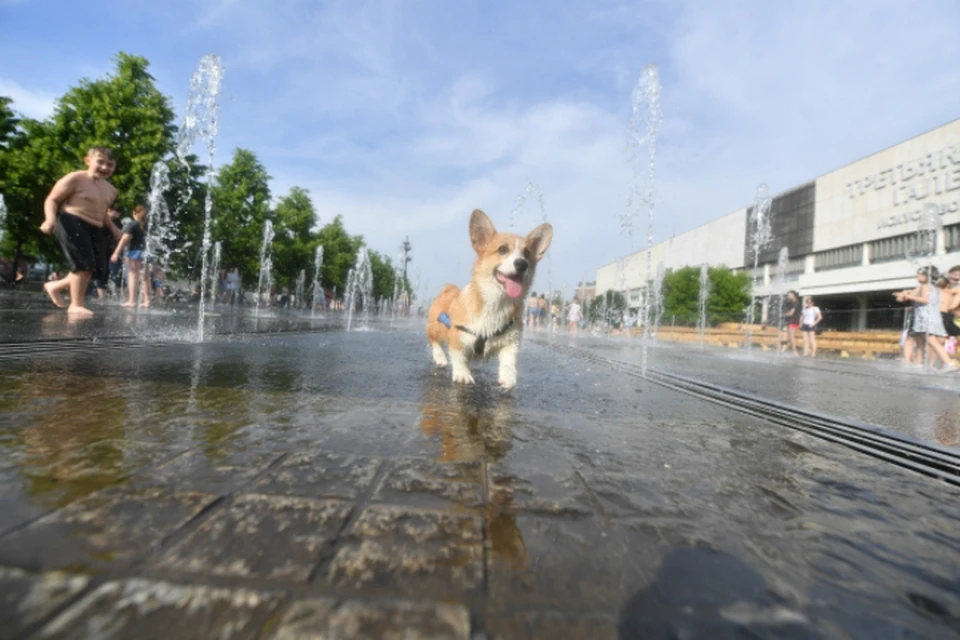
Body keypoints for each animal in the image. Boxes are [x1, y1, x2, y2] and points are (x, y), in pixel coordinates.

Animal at [426, 210, 552, 390]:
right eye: (502, 249)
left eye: (527, 253)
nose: (522, 264)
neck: (496, 303)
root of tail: (449, 288)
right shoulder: (456, 337)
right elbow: (458, 356)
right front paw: (463, 374)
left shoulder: (511, 341)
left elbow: (509, 361)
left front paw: (508, 377)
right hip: (435, 326)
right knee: (433, 340)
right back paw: (440, 357)